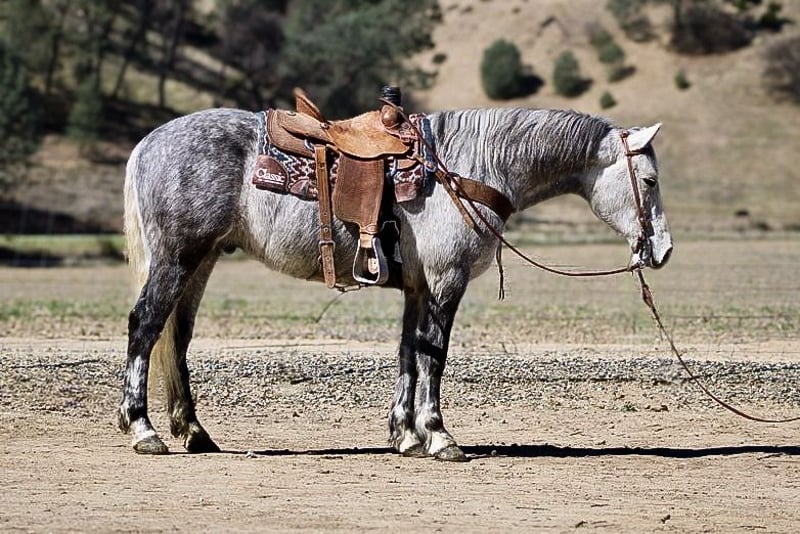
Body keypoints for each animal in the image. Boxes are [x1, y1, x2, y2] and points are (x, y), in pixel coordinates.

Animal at [118, 105, 673, 461]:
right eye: (648, 181)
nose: (662, 250)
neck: (468, 167)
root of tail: (147, 143)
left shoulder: (418, 287)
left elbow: (409, 351)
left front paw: (405, 435)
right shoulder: (446, 282)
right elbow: (434, 354)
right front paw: (440, 437)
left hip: (201, 261)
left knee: (177, 337)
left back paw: (194, 432)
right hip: (176, 259)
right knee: (145, 325)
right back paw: (143, 429)